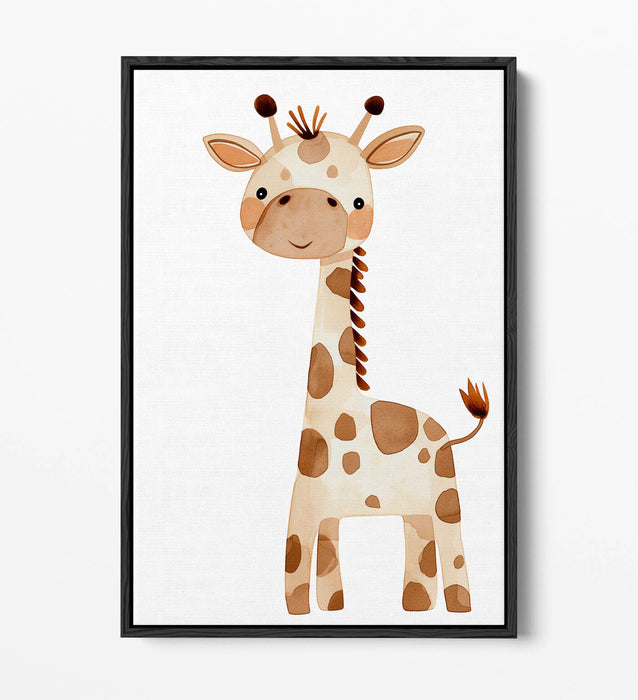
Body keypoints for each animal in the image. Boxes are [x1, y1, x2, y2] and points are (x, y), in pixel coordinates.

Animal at [203, 94, 489, 615]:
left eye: (358, 201)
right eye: (260, 190)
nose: (308, 216)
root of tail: (448, 433)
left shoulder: (303, 511)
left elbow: (295, 575)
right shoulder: (316, 510)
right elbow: (320, 572)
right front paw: (332, 609)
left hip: (445, 494)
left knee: (453, 551)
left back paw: (459, 608)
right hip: (413, 508)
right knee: (421, 548)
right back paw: (414, 607)